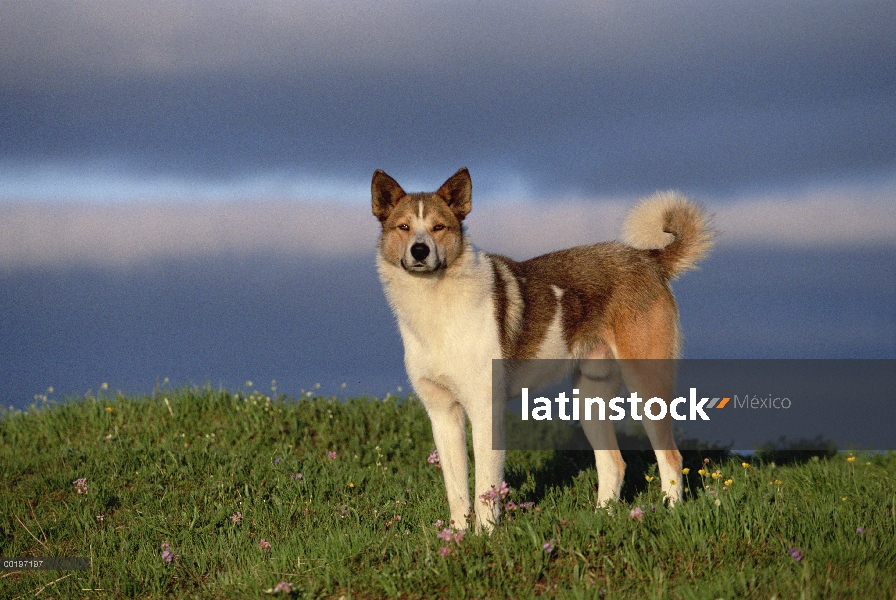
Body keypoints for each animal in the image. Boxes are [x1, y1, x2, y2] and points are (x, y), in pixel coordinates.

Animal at [372, 166, 712, 528]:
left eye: (439, 227)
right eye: (403, 227)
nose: (420, 251)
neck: (435, 302)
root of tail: (649, 259)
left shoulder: (485, 410)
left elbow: (485, 489)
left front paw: (485, 536)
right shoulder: (442, 415)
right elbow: (457, 492)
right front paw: (458, 536)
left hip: (646, 387)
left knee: (671, 457)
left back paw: (671, 514)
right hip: (589, 399)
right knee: (614, 464)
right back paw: (599, 519)